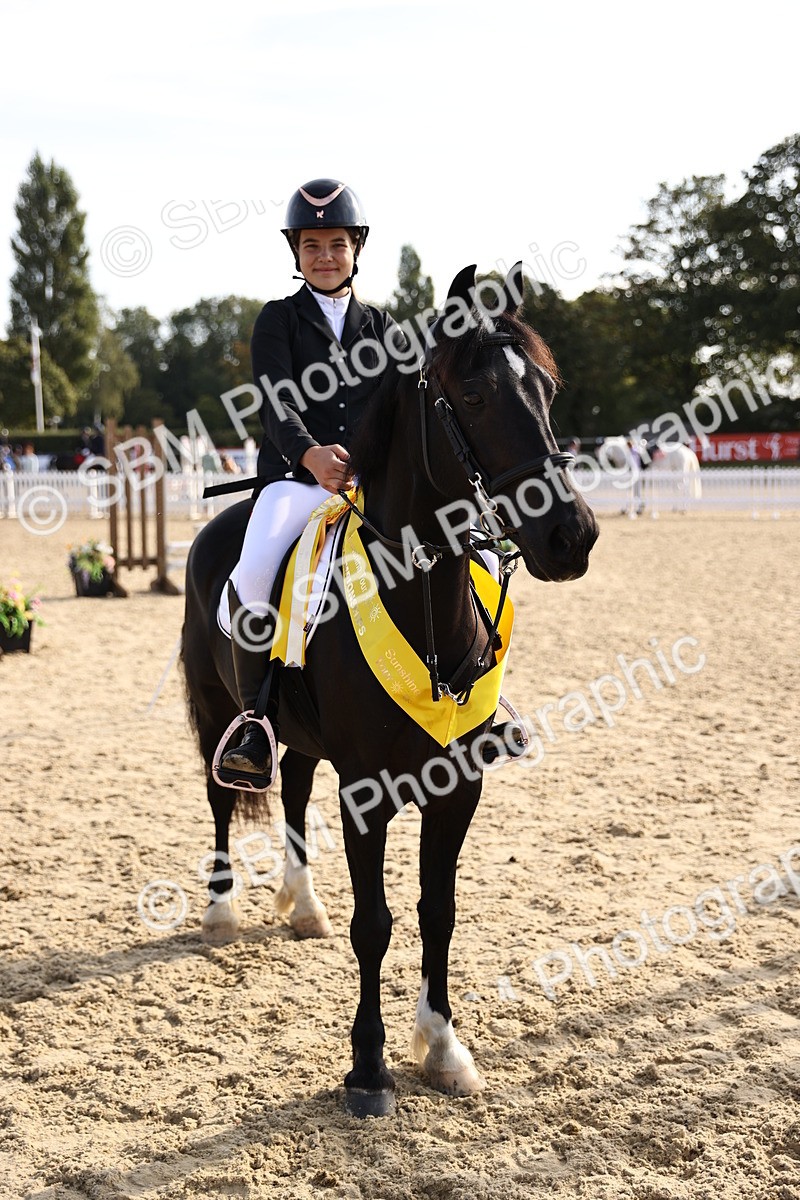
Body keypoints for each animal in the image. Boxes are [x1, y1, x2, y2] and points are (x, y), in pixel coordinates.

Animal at [181, 263, 599, 1117]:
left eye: (545, 387)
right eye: (472, 395)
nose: (570, 537)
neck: (423, 598)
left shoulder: (458, 784)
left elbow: (439, 912)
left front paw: (442, 1048)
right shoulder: (366, 791)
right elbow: (374, 923)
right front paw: (368, 1068)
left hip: (299, 734)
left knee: (293, 784)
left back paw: (302, 905)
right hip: (215, 712)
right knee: (221, 798)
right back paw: (221, 911)